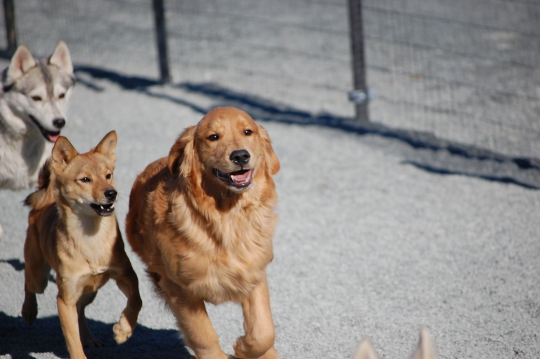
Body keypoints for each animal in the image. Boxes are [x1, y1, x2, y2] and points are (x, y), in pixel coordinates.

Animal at [22, 131, 142, 359]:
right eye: (85, 179)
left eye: (108, 175)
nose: (111, 193)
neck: (91, 237)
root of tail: (44, 202)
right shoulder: (65, 300)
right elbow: (72, 339)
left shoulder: (126, 275)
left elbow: (136, 301)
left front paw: (123, 330)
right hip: (39, 276)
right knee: (29, 284)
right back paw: (28, 311)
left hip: (90, 292)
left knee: (81, 311)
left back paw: (88, 337)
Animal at [125, 107, 280, 359]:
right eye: (213, 137)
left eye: (248, 132)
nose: (240, 156)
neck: (226, 217)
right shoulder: (179, 289)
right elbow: (203, 335)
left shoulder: (253, 272)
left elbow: (264, 331)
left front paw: (243, 347)